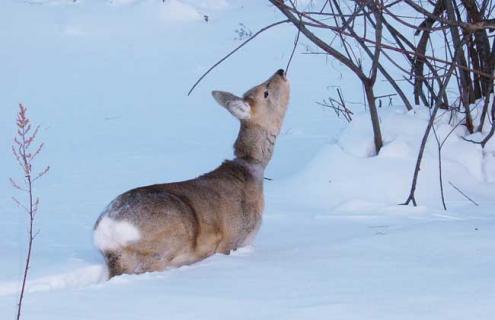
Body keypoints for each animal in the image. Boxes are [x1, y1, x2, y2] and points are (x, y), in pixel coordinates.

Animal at [93, 68, 290, 278]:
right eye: (265, 92)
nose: (280, 71)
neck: (250, 168)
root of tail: (105, 235)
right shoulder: (233, 239)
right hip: (163, 244)